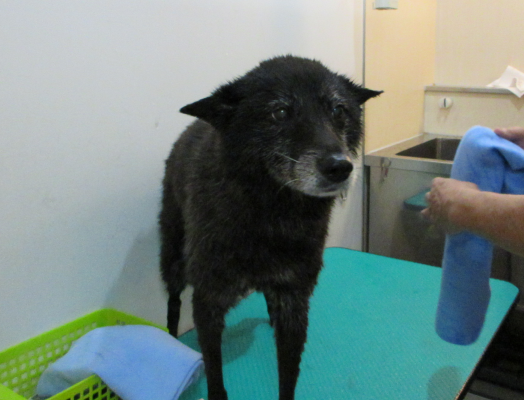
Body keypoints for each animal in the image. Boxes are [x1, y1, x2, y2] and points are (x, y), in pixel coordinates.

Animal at [159, 55, 381, 400]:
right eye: (280, 112)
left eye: (338, 110)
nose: (340, 167)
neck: (271, 212)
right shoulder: (208, 299)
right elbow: (214, 371)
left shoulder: (294, 299)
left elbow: (288, 377)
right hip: (173, 258)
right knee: (172, 301)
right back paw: (169, 337)